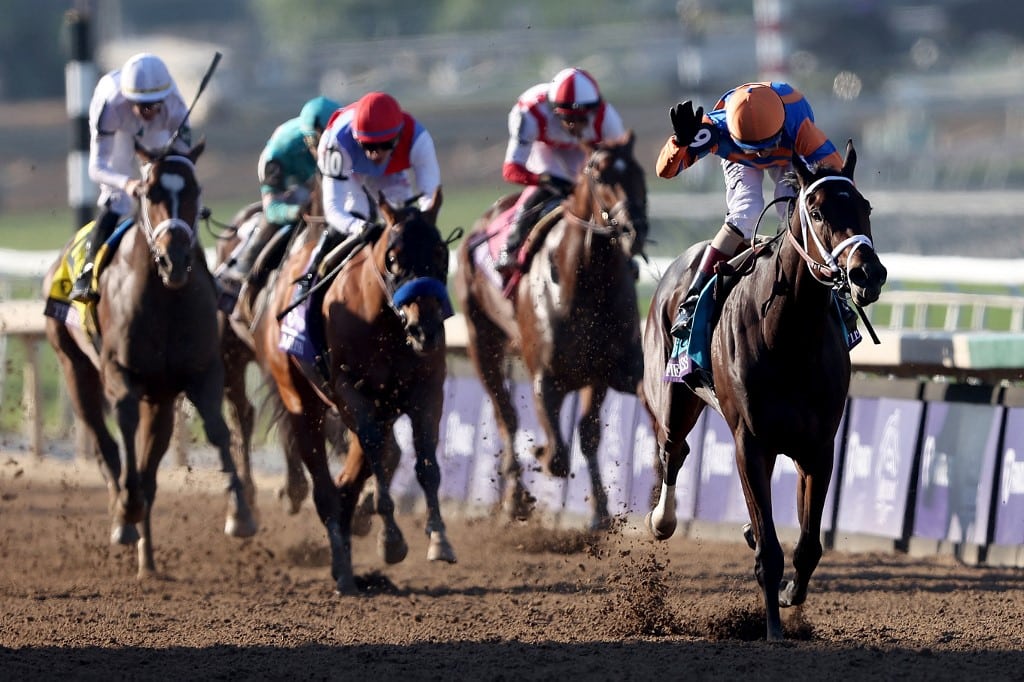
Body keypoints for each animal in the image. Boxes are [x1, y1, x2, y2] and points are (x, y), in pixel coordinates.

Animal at [44, 140, 258, 577]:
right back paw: (124, 521)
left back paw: (148, 560)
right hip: (74, 368)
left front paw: (240, 513)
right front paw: (126, 510)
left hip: (159, 399)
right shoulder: (119, 371)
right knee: (104, 443)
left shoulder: (201, 371)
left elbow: (217, 429)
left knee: (149, 468)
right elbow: (124, 431)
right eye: (148, 192)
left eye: (195, 189)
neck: (165, 298)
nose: (174, 258)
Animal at [253, 188, 454, 593]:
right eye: (392, 259)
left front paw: (439, 538)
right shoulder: (350, 393)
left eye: (441, 252)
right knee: (327, 488)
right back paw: (344, 571)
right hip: (302, 403)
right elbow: (377, 453)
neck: (386, 325)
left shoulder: (426, 392)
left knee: (353, 478)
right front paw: (391, 539)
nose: (425, 329)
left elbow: (425, 462)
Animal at [456, 130, 647, 528]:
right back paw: (514, 498)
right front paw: (540, 452)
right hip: (482, 343)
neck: (587, 283)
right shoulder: (546, 379)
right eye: (601, 176)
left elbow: (591, 434)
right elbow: (558, 456)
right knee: (507, 418)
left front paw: (604, 512)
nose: (634, 229)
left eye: (639, 172)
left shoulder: (613, 371)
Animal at [643, 139, 884, 638]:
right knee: (673, 449)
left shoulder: (818, 448)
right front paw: (773, 629)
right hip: (674, 398)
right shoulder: (751, 443)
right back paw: (663, 519)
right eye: (817, 209)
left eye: (865, 207)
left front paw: (791, 596)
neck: (788, 335)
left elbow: (808, 544)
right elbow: (770, 552)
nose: (868, 273)